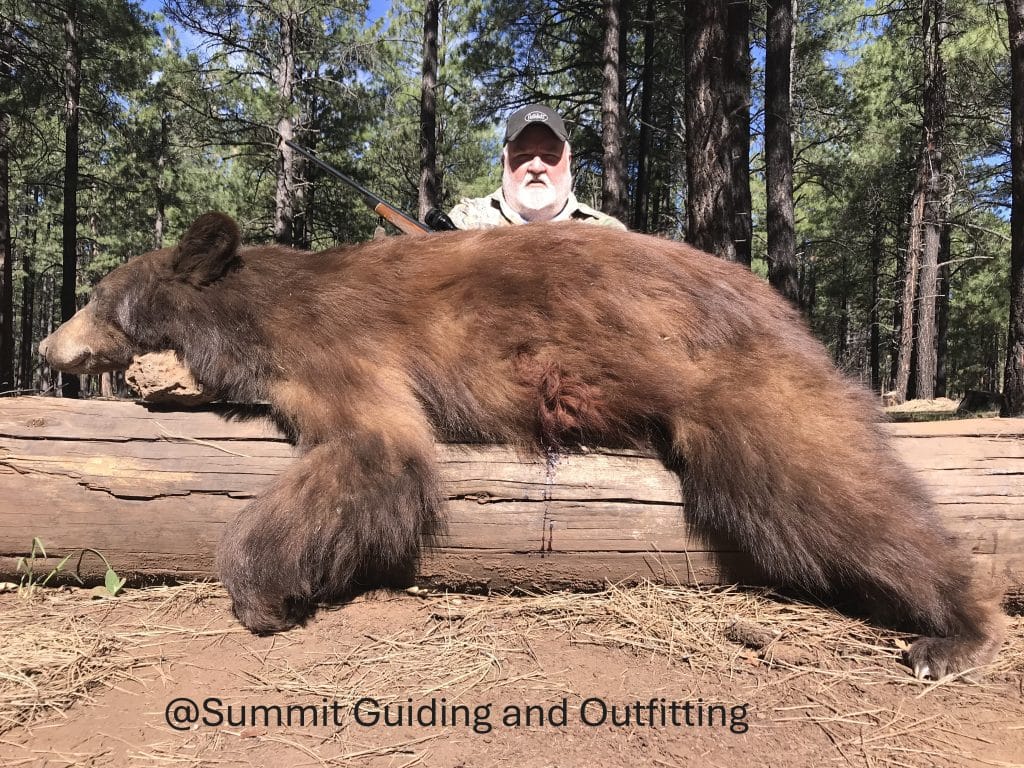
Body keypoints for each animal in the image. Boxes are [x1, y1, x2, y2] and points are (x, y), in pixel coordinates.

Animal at [39, 211, 1004, 680]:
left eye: (95, 296)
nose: (47, 346)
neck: (251, 311)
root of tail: (780, 305)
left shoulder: (333, 344)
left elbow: (377, 447)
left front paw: (260, 594)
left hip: (729, 379)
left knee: (825, 485)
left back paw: (951, 632)